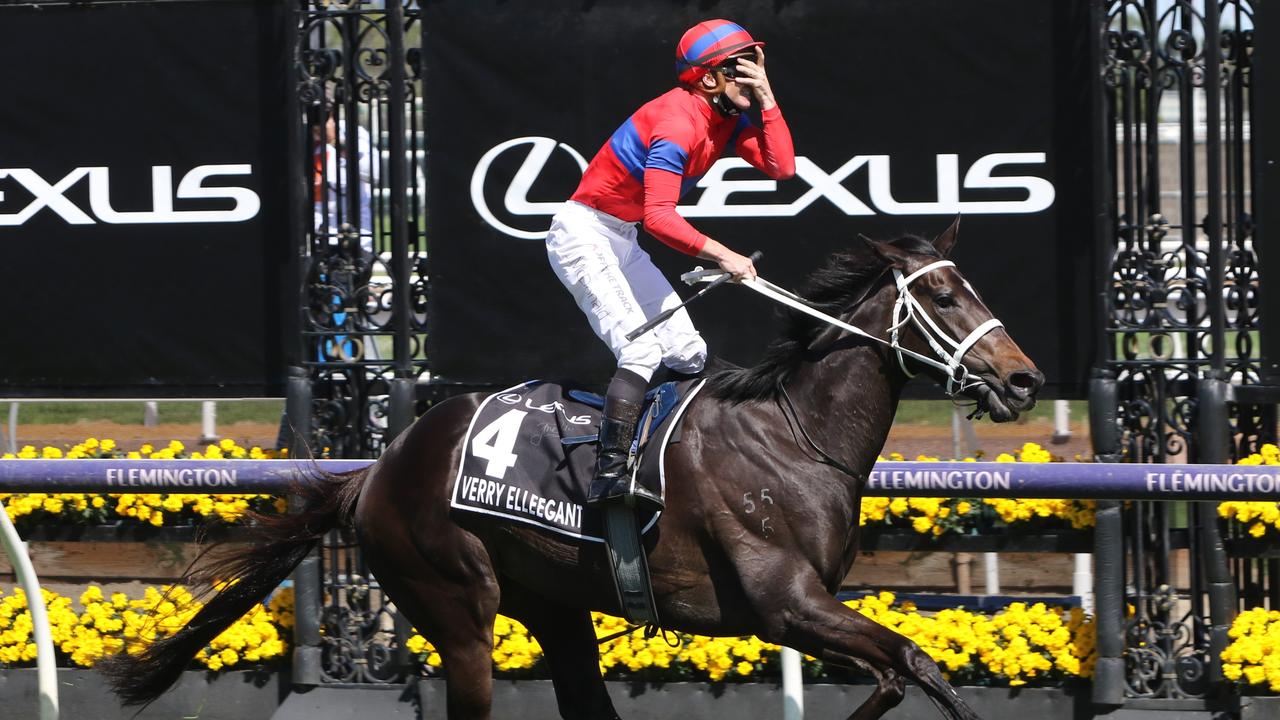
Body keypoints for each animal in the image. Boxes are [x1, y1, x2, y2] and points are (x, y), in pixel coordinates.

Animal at [104, 220, 1044, 717]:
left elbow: (901, 670)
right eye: (946, 295)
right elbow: (917, 662)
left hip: (554, 607)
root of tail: (378, 468)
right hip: (455, 601)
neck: (793, 436)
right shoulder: (785, 604)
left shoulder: (807, 613)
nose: (1023, 379)